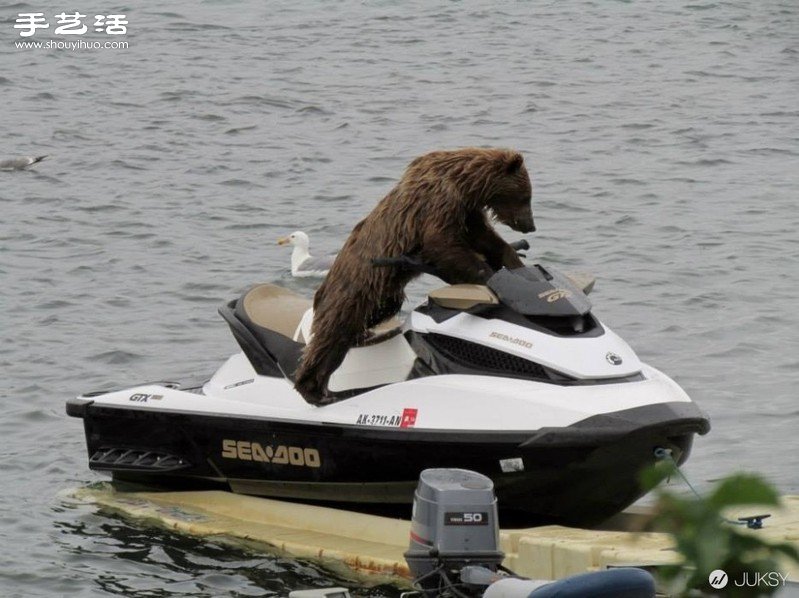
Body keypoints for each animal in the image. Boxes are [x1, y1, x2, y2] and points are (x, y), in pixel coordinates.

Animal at [290, 148, 536, 406]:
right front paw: (488, 277)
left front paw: (515, 262)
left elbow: (486, 239)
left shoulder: (466, 212)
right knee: (331, 337)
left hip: (383, 294)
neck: (464, 184)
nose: (530, 225)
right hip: (350, 292)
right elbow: (442, 244)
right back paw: (315, 391)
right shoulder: (437, 203)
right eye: (525, 196)